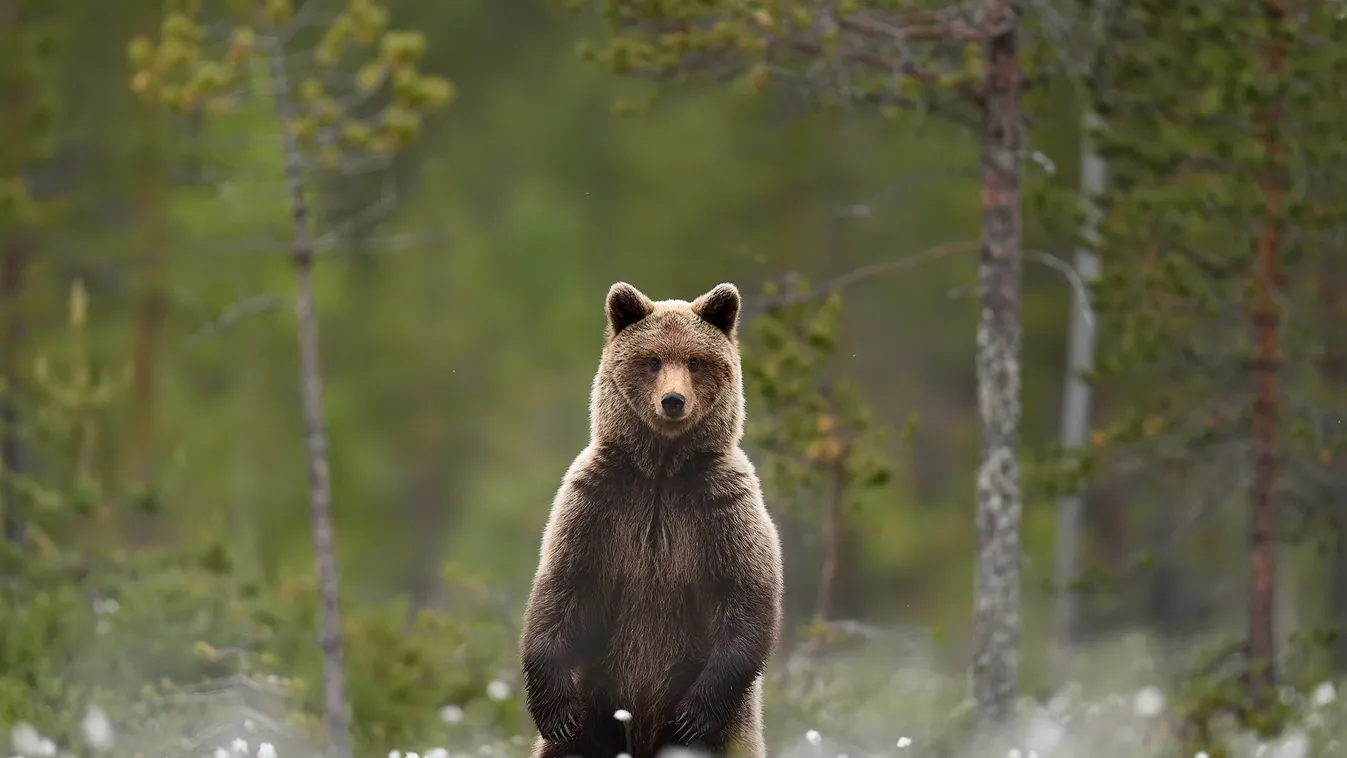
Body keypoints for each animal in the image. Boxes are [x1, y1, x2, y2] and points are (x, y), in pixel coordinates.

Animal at [519, 280, 786, 758]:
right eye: (653, 359)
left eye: (695, 361)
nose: (673, 400)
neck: (661, 471)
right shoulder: (599, 503)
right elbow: (564, 587)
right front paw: (556, 712)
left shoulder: (721, 506)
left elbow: (745, 595)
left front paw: (693, 715)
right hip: (598, 702)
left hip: (731, 729)